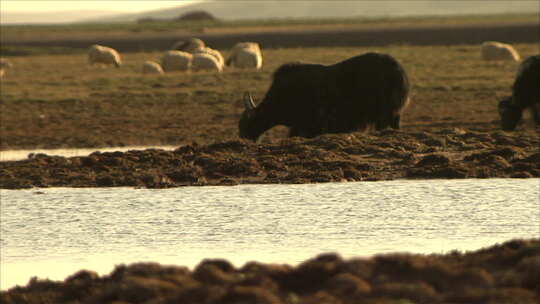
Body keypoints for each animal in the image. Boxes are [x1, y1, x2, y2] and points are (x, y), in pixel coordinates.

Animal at [239, 52, 410, 141]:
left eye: (247, 122)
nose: (243, 138)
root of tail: (397, 69)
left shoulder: (308, 125)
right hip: (394, 113)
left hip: (383, 112)